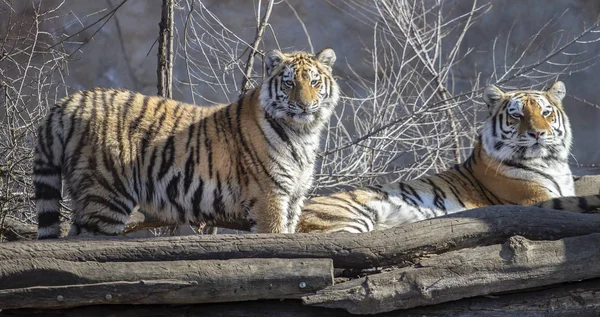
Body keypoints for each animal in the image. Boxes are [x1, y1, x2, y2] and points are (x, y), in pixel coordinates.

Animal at [35, 48, 340, 238]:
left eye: (314, 82)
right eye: (289, 84)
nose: (305, 106)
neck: (303, 133)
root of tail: (70, 100)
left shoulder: (295, 195)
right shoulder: (269, 195)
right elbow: (276, 235)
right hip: (104, 195)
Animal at [296, 79, 600, 232]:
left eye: (546, 113)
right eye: (517, 115)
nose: (538, 133)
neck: (551, 162)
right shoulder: (533, 200)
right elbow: (577, 200)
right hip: (346, 217)